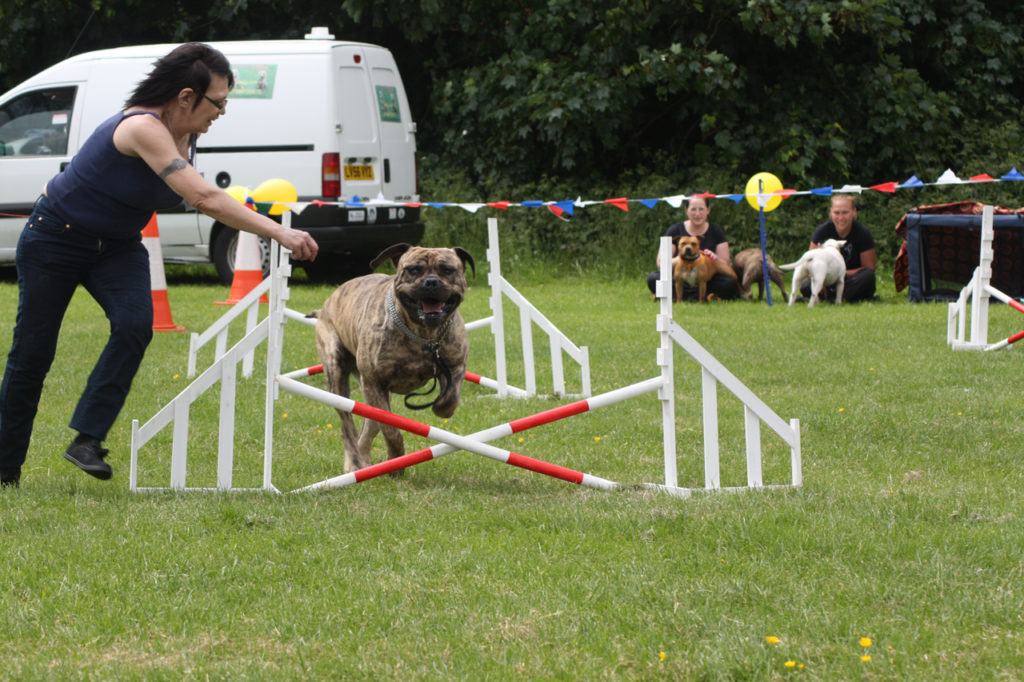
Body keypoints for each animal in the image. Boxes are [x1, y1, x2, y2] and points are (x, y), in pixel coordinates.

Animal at [311, 244, 475, 473]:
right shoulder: (374, 382)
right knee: (348, 426)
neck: (422, 334)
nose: (431, 282)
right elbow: (391, 429)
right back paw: (355, 463)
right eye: (413, 270)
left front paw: (441, 408)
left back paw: (364, 463)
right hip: (337, 376)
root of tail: (328, 301)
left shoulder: (455, 365)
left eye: (447, 270)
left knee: (368, 427)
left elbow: (450, 398)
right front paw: (396, 460)